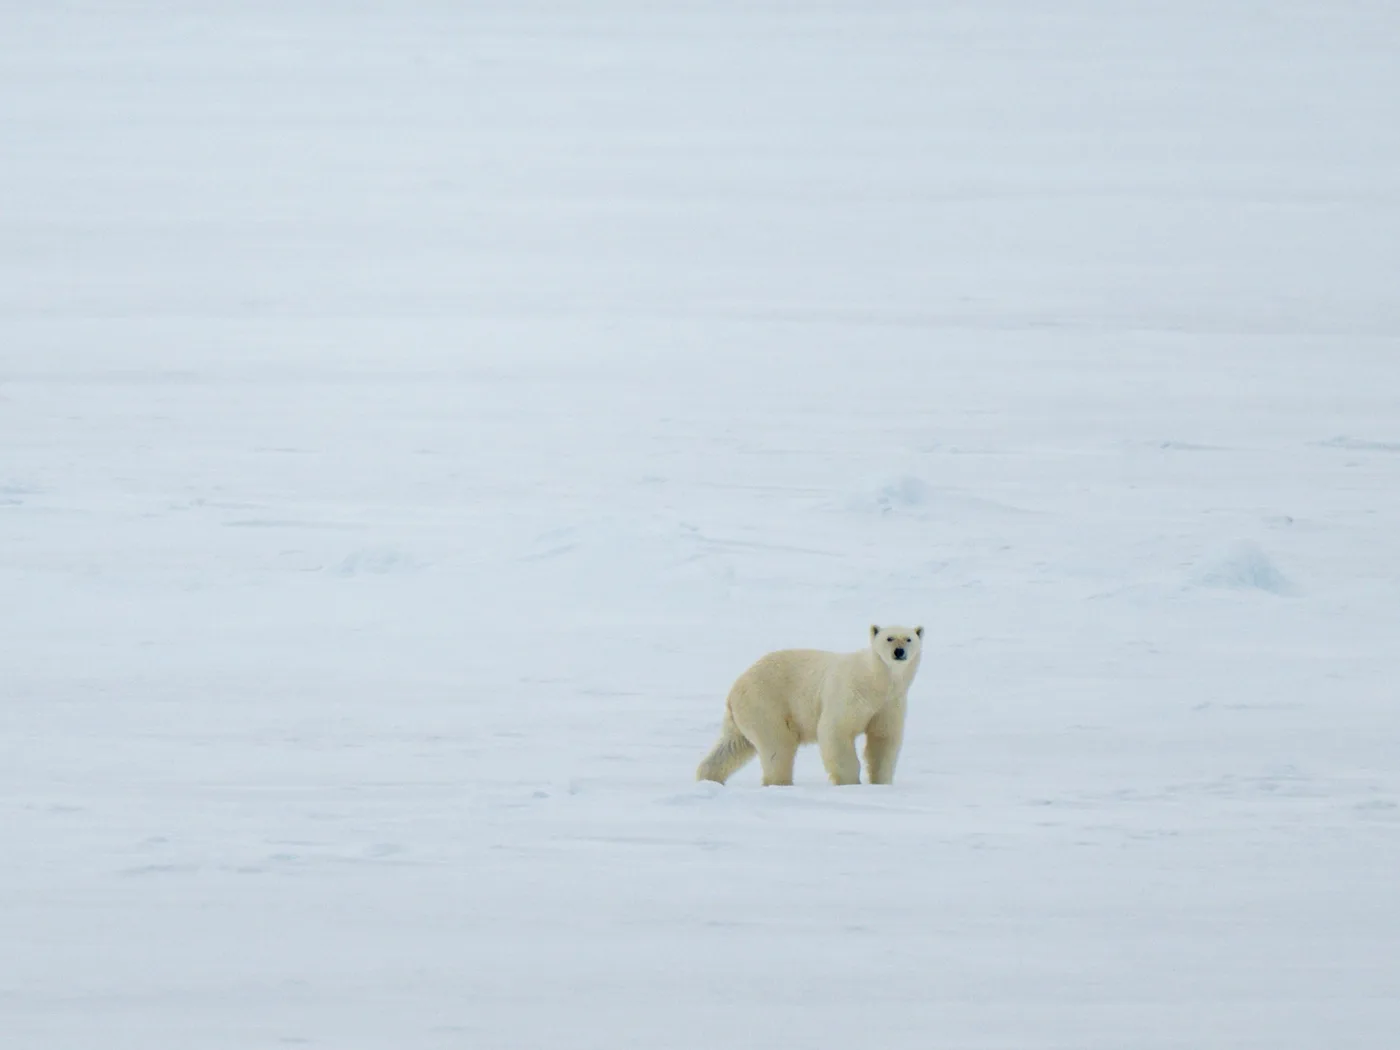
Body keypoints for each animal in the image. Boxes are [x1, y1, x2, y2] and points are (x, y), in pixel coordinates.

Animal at [696, 625, 923, 786]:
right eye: (889, 638)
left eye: (909, 638)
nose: (899, 651)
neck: (876, 680)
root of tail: (735, 688)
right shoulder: (850, 693)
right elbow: (835, 731)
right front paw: (850, 782)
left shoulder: (890, 703)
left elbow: (883, 739)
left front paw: (881, 783)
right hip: (766, 702)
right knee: (778, 745)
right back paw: (780, 783)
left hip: (745, 713)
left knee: (733, 745)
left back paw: (708, 777)